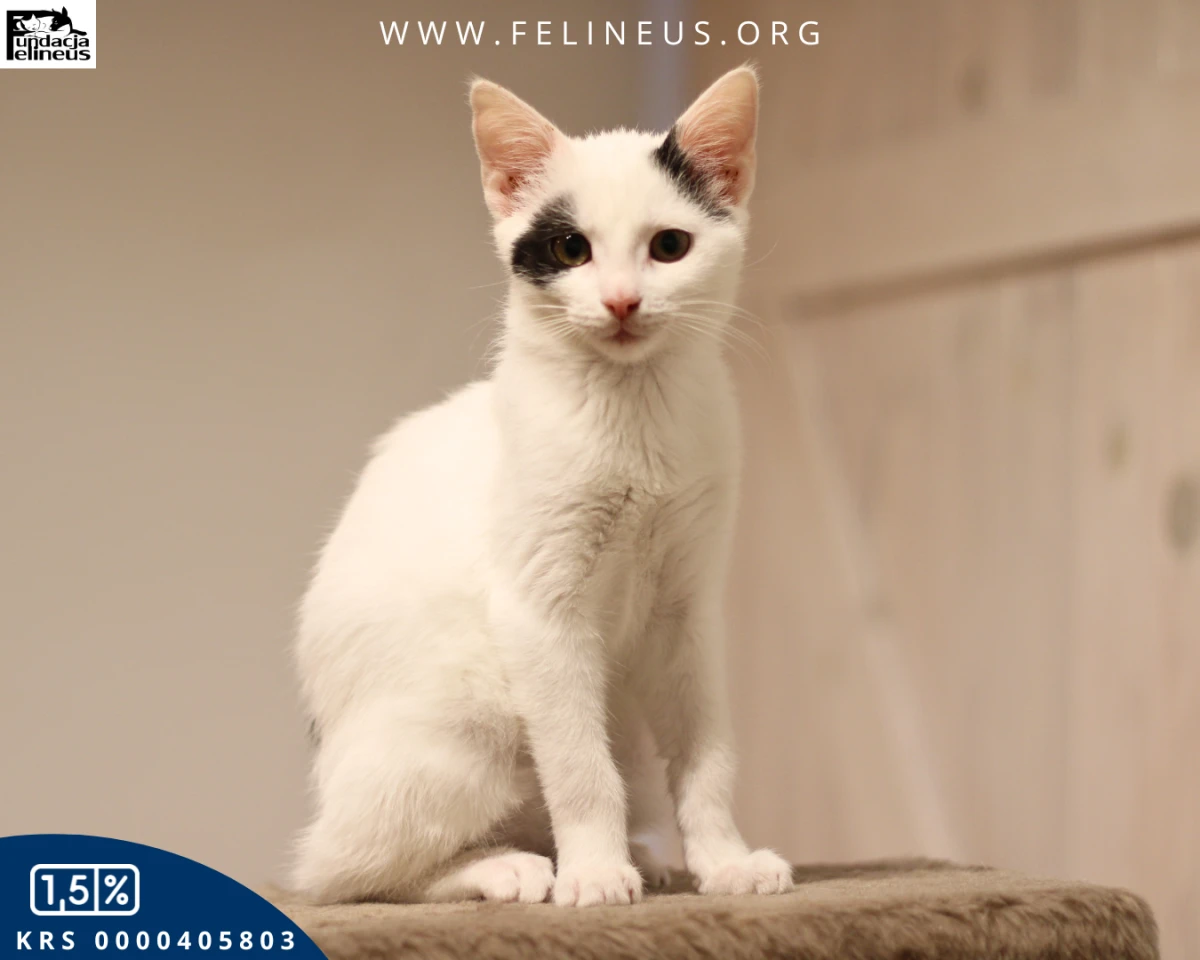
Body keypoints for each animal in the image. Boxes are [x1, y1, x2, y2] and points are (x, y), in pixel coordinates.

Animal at [292, 65, 793, 907]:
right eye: (571, 248)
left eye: (669, 246)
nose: (622, 300)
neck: (632, 415)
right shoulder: (539, 613)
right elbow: (580, 766)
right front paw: (592, 871)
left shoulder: (688, 606)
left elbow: (707, 751)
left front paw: (723, 860)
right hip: (469, 716)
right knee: (342, 874)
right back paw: (508, 866)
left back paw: (642, 852)